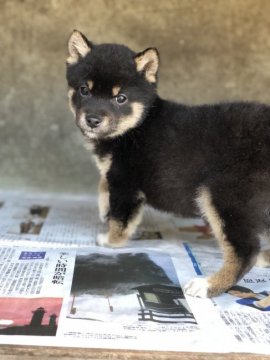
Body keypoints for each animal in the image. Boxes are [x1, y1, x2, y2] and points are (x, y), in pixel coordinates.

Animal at [66, 29, 270, 296]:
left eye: (120, 98)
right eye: (84, 90)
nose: (92, 120)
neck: (136, 127)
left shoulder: (126, 184)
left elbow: (122, 219)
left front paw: (111, 240)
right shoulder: (116, 175)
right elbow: (103, 184)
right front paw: (103, 208)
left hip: (224, 196)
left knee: (245, 251)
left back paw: (208, 285)